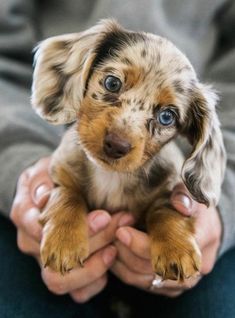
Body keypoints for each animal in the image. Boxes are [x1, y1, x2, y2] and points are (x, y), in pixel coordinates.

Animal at [31, 19, 226, 280]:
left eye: (167, 117)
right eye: (112, 83)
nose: (116, 145)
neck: (111, 175)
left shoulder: (168, 192)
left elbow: (166, 211)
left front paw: (176, 249)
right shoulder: (61, 175)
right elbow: (66, 195)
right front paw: (64, 241)